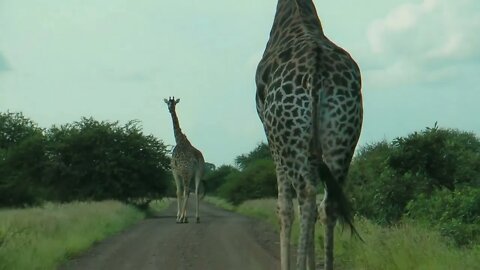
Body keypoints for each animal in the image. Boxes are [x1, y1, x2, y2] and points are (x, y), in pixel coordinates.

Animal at [255, 1, 364, 268]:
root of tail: (317, 65)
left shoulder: (271, 139)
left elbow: (283, 208)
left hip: (286, 137)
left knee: (305, 196)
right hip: (343, 136)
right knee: (327, 204)